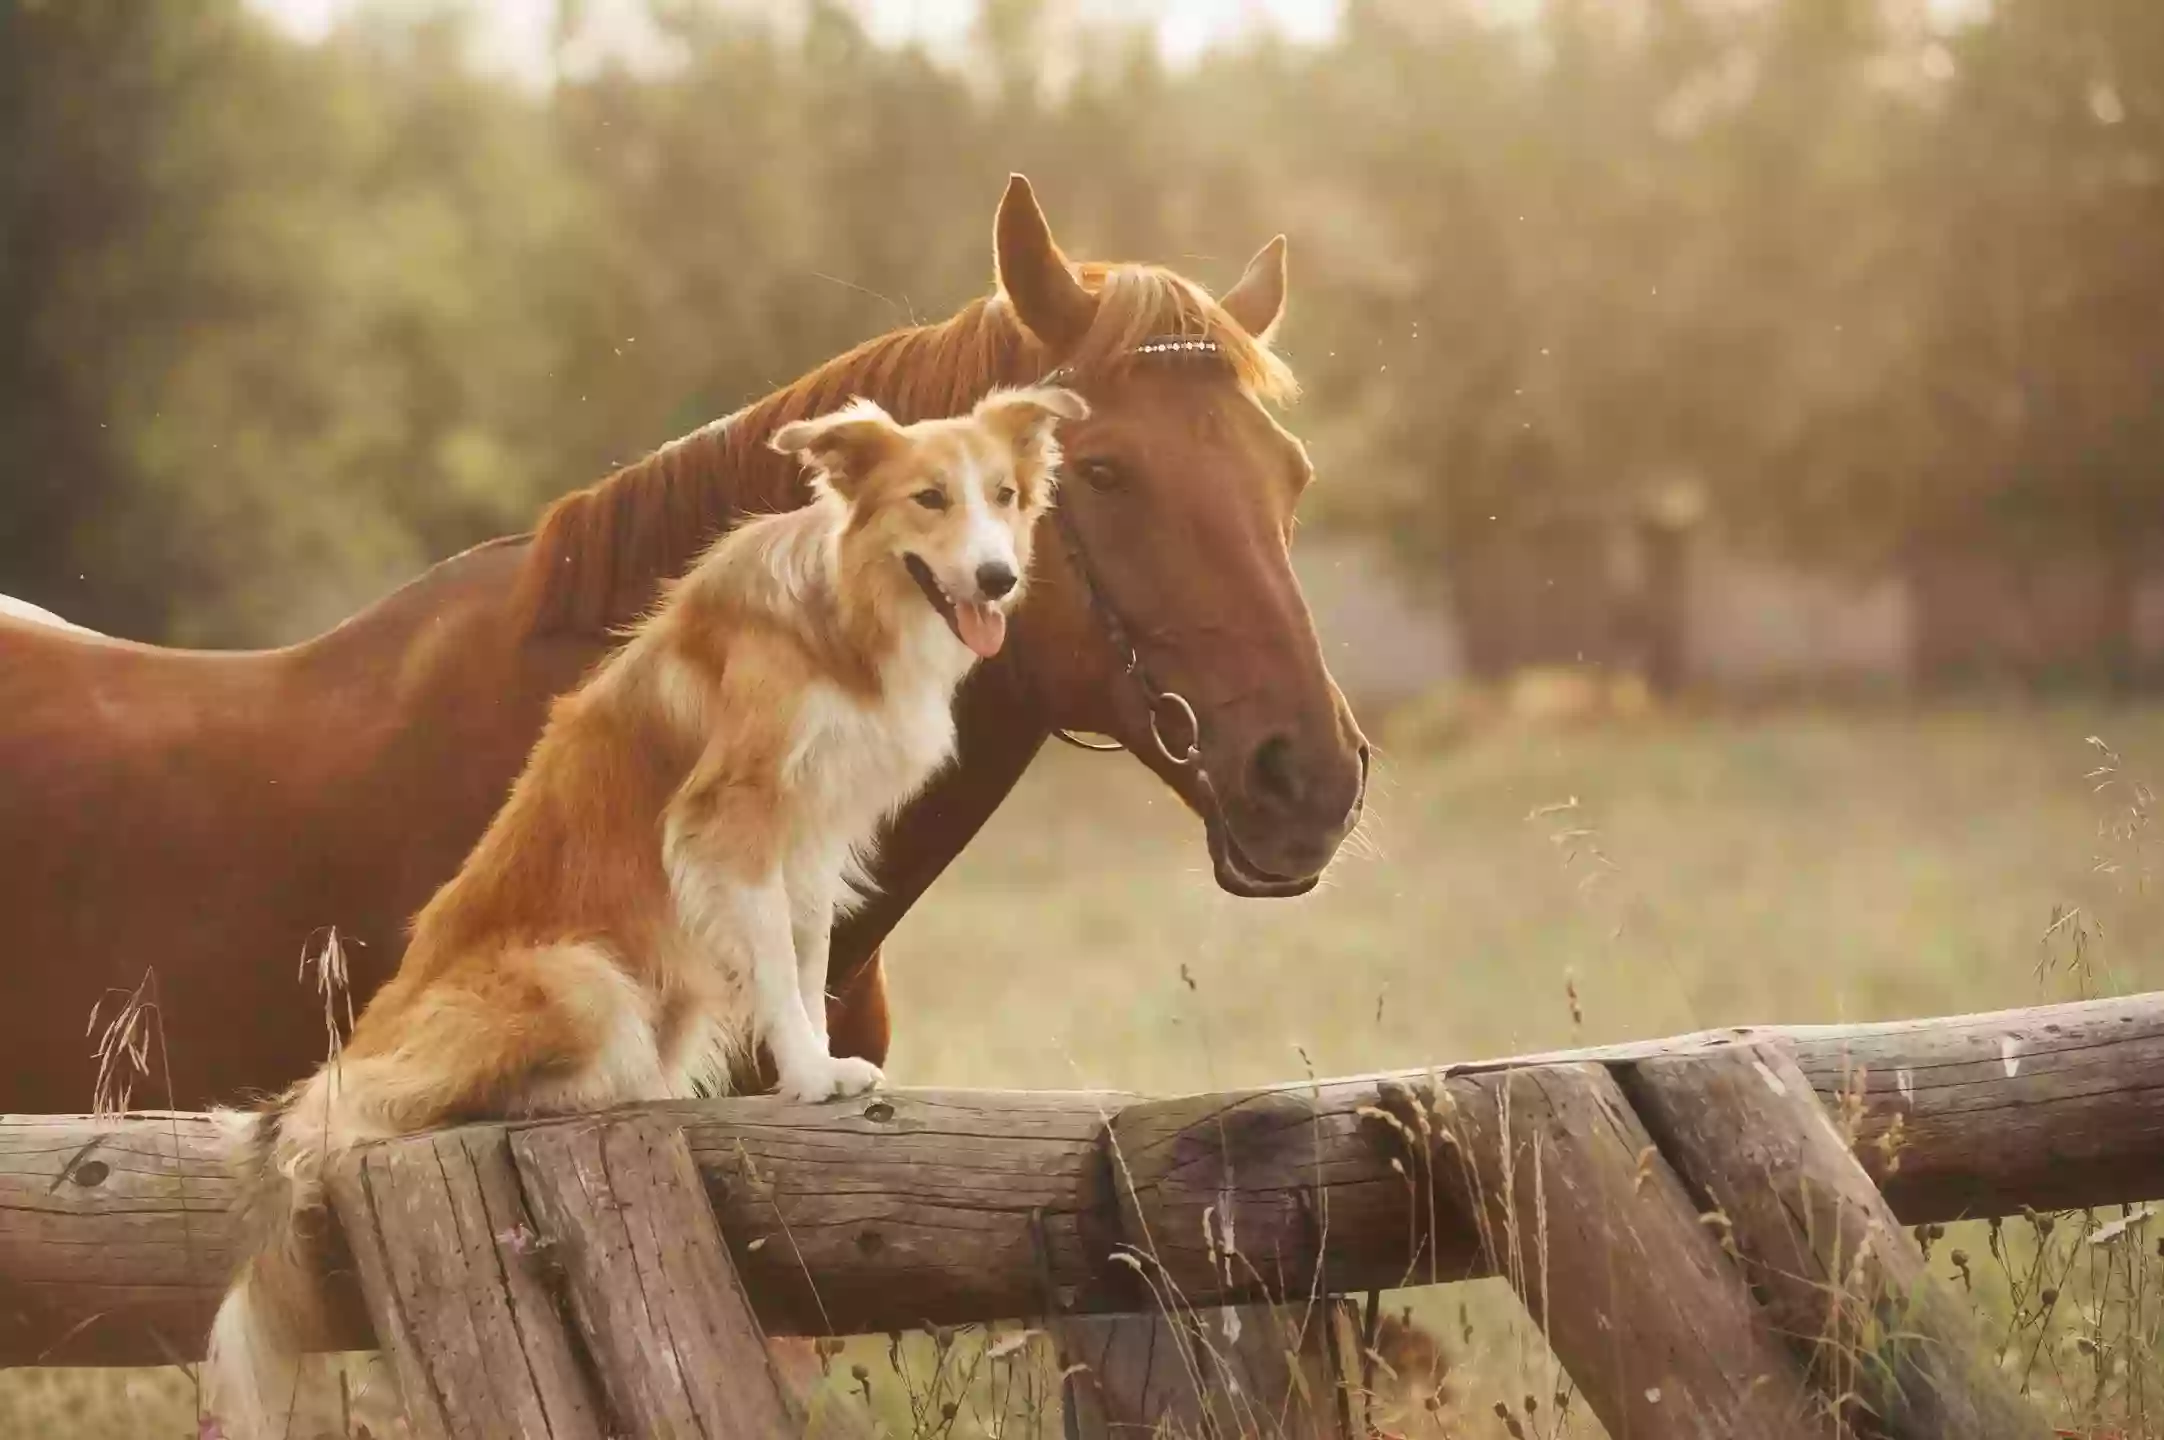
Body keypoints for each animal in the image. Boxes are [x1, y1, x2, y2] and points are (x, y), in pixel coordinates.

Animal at [203, 385, 1082, 1437]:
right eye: (928, 499)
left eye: (1004, 495)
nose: (998, 578)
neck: (841, 613)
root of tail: (360, 1049)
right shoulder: (731, 821)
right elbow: (780, 969)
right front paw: (808, 1079)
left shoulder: (812, 839)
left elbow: (807, 957)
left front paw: (822, 1066)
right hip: (581, 979)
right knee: (407, 1105)